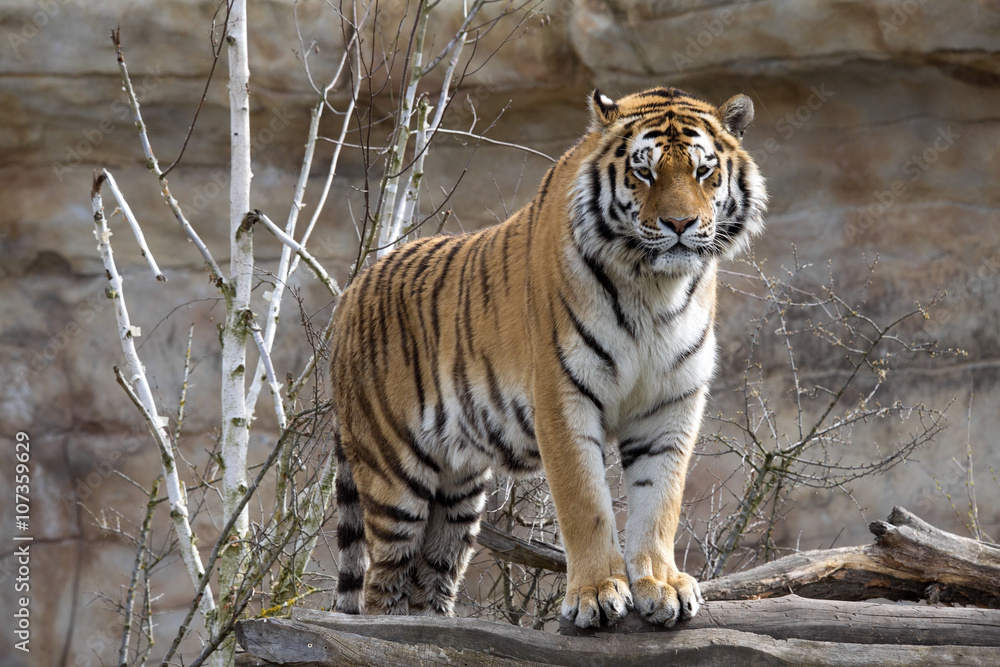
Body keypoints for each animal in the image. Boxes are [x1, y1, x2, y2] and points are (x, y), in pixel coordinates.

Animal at [330, 86, 767, 628]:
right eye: (644, 172)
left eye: (704, 171)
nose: (680, 224)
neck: (654, 287)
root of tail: (350, 292)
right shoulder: (563, 395)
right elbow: (586, 503)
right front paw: (597, 594)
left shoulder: (671, 403)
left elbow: (660, 501)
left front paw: (661, 586)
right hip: (394, 474)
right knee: (381, 581)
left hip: (458, 490)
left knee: (431, 574)